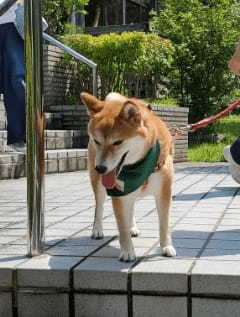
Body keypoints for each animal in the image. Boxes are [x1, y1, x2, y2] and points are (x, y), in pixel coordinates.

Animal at [80, 92, 176, 262]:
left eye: (117, 142)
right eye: (97, 141)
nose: (100, 168)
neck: (140, 165)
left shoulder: (164, 192)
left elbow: (164, 223)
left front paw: (166, 247)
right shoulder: (118, 194)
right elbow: (121, 225)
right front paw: (127, 252)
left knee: (131, 209)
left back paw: (133, 227)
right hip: (98, 184)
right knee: (99, 207)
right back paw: (97, 229)